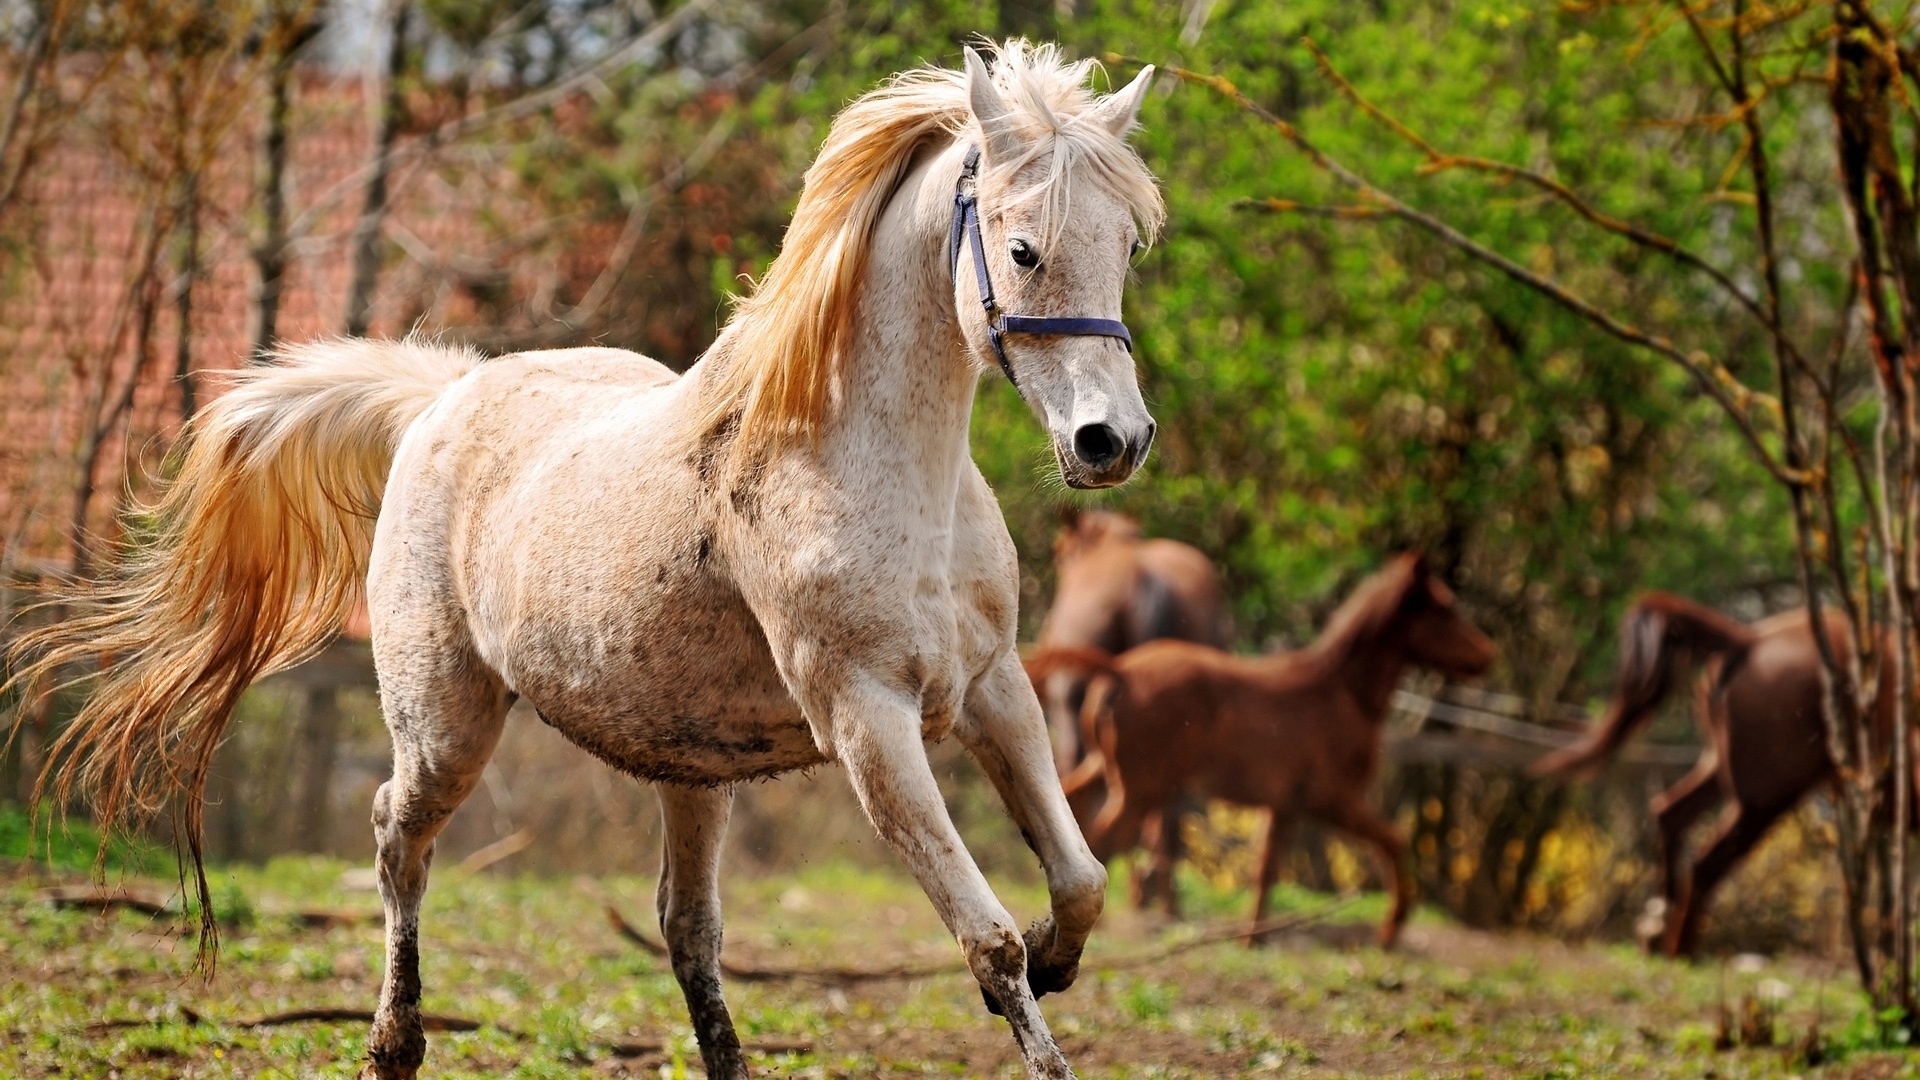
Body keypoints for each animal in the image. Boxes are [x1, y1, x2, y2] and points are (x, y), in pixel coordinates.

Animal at [5, 43, 1164, 1080]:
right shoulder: (869, 721)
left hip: (693, 772)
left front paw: (1061, 963)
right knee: (395, 839)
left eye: (1126, 246)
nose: (1111, 441)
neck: (864, 463)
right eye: (1024, 249)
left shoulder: (992, 689)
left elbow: (1081, 880)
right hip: (446, 728)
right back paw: (393, 1045)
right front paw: (1034, 991)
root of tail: (442, 397)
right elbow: (989, 941)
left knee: (687, 930)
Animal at [1040, 552, 1495, 947]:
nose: (1488, 656)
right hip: (1143, 788)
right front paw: (1391, 930)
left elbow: (1266, 870)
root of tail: (1120, 670)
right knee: (1104, 841)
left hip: (1106, 769)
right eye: (1445, 609)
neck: (1341, 693)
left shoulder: (1286, 807)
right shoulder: (1334, 800)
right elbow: (1394, 840)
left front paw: (1252, 938)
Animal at [1531, 593, 1896, 959]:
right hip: (1764, 796)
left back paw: (1657, 926)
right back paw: (1680, 950)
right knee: (1707, 863)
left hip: (1721, 770)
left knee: (1670, 813)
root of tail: (1748, 641)